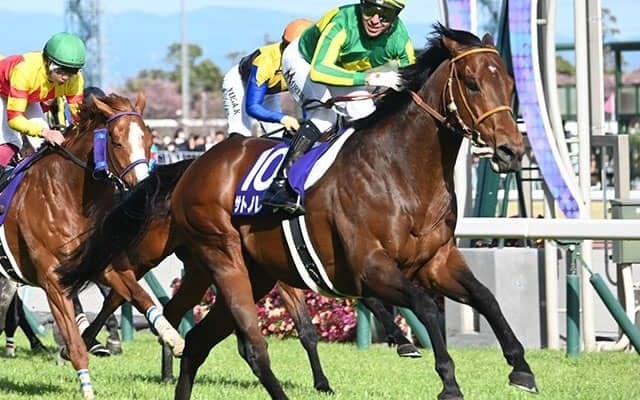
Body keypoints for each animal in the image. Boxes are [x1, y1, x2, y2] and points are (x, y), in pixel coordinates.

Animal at [0, 92, 183, 400]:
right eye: (116, 141)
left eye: (148, 139)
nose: (143, 186)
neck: (65, 195)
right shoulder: (53, 282)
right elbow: (75, 344)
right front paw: (86, 388)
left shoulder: (102, 264)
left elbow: (139, 296)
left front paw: (172, 336)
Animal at [58, 25, 536, 400]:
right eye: (472, 83)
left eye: (511, 86)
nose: (511, 151)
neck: (400, 171)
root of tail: (196, 163)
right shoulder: (371, 268)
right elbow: (426, 307)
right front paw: (448, 380)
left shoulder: (437, 261)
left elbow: (486, 298)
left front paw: (521, 368)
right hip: (219, 258)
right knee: (241, 341)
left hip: (243, 272)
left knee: (194, 339)